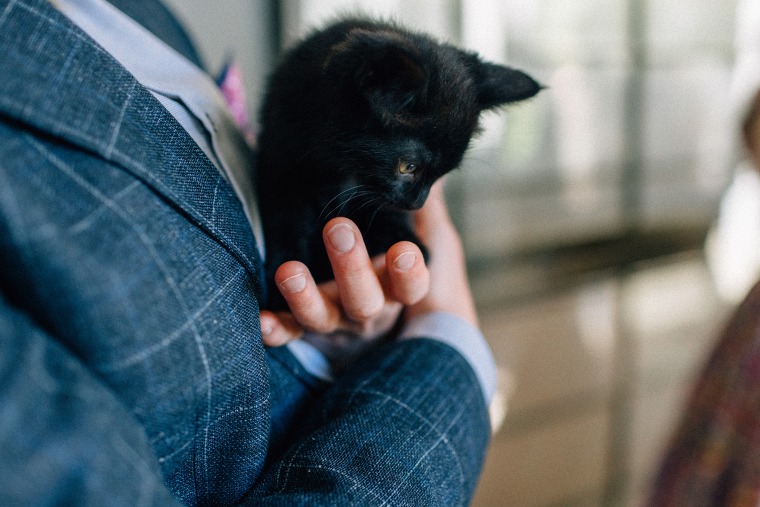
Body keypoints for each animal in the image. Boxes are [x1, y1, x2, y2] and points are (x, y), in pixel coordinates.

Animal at [256, 18, 540, 310]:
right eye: (408, 167)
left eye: (441, 175)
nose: (417, 204)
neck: (338, 171)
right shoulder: (280, 163)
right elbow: (286, 220)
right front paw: (282, 278)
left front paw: (402, 236)